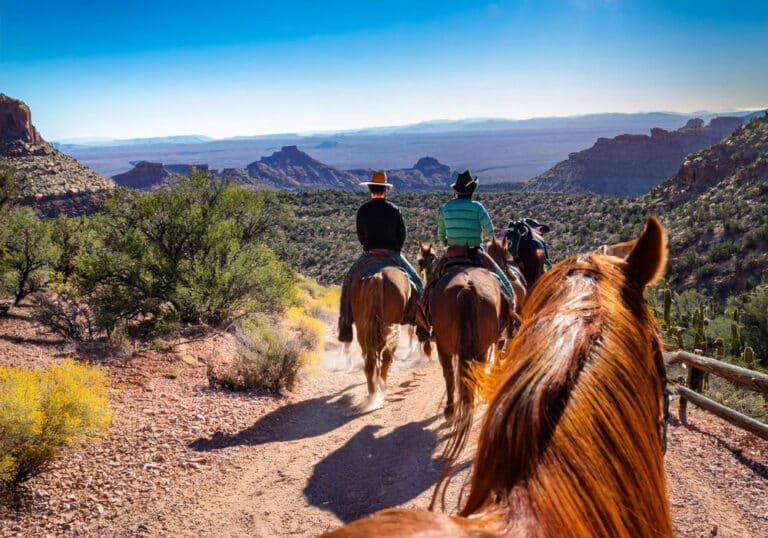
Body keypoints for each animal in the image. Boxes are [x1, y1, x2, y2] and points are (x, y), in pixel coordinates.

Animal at [352, 262, 414, 408]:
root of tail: (378, 277)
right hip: (391, 328)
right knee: (386, 358)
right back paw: (381, 390)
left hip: (363, 329)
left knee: (370, 361)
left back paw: (373, 393)